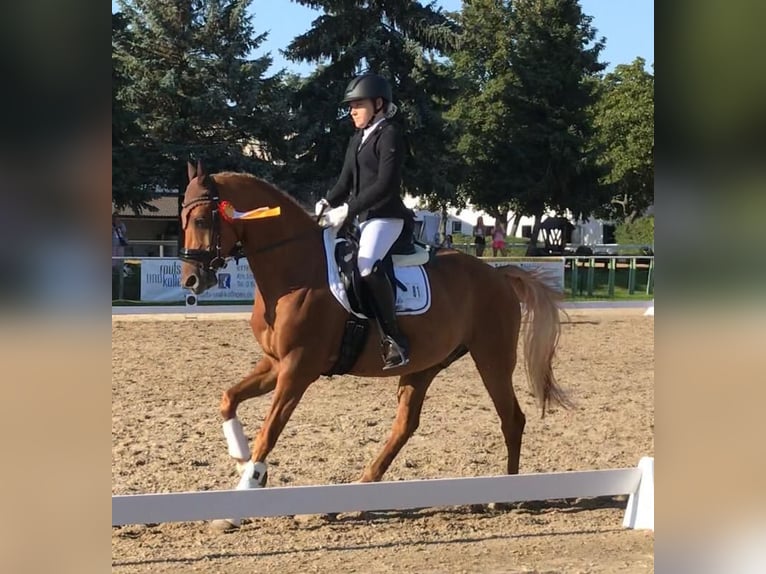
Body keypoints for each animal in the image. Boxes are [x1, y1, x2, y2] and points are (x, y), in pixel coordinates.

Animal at [180, 161, 568, 528]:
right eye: (182, 218)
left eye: (200, 219)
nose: (191, 280)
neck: (295, 270)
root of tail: (498, 274)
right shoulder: (276, 362)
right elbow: (228, 399)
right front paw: (241, 460)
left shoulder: (298, 368)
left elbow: (269, 432)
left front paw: (239, 501)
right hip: (425, 365)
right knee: (405, 426)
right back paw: (357, 495)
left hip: (492, 359)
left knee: (512, 419)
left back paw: (502, 497)